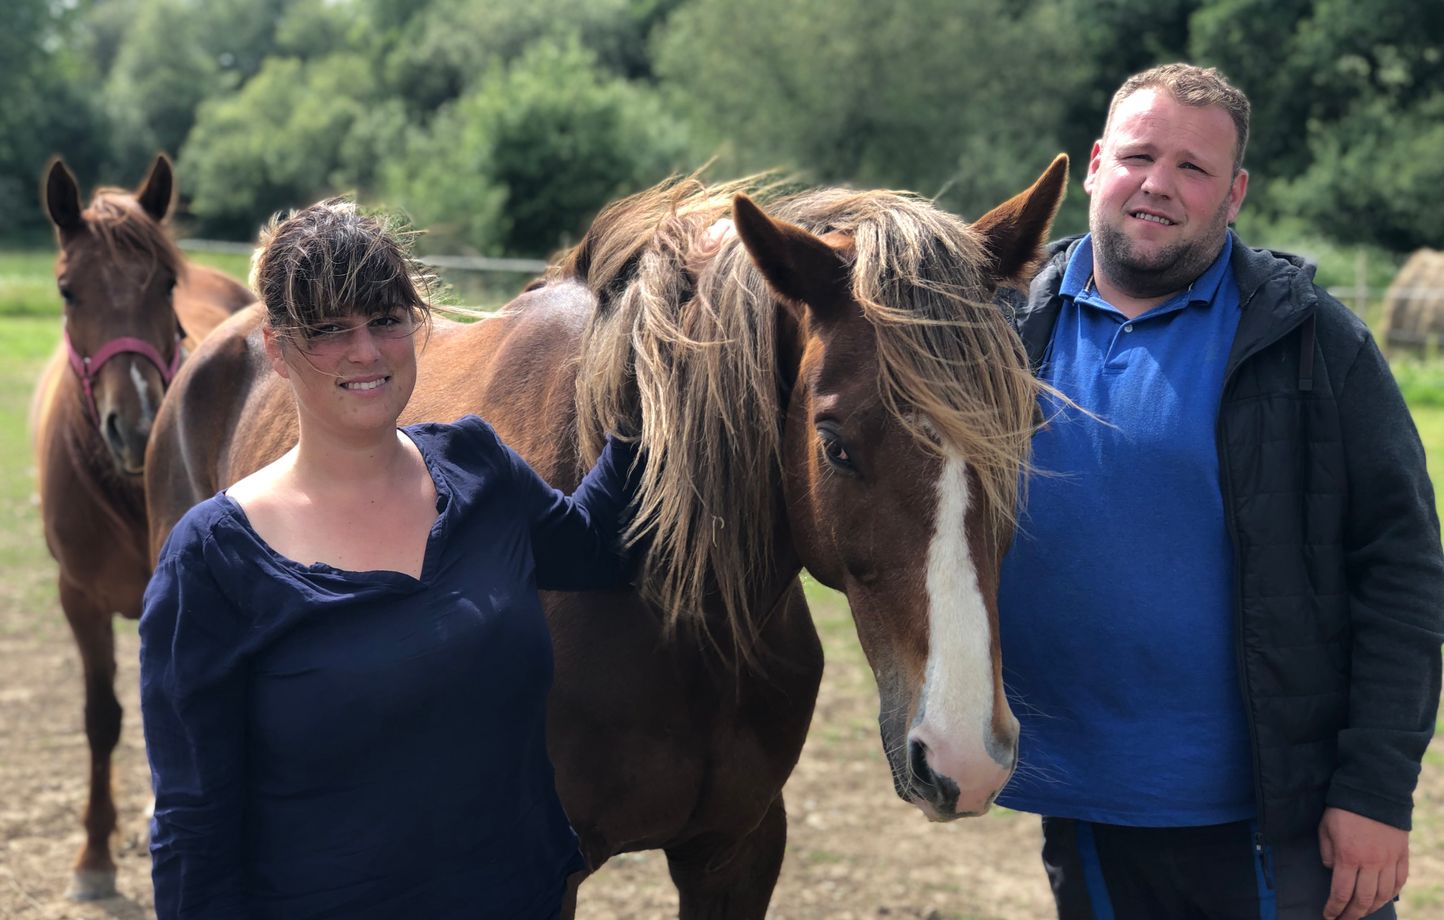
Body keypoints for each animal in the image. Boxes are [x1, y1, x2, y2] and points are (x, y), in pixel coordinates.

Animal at [28, 155, 254, 895]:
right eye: (67, 291)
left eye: (165, 285)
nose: (136, 425)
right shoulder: (78, 597)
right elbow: (102, 719)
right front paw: (94, 856)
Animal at [149, 159, 1074, 918]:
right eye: (836, 442)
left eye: (1026, 429)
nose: (965, 755)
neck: (671, 613)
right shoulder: (546, 870)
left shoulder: (736, 852)